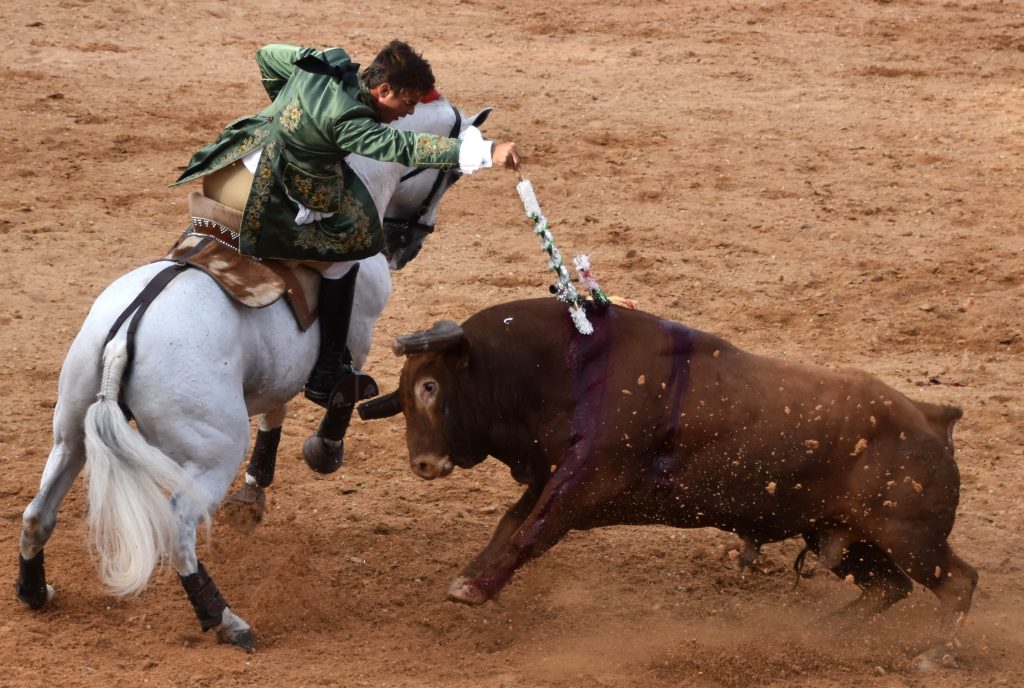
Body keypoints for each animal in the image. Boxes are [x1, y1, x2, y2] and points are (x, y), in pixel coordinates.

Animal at [16, 96, 490, 650]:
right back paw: (224, 619)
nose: (405, 247)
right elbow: (341, 391)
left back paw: (34, 591)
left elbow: (276, 407)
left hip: (70, 431)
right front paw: (324, 451)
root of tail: (124, 334)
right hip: (212, 450)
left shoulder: (279, 363)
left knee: (38, 512)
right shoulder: (357, 332)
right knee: (178, 529)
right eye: (450, 176)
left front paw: (255, 489)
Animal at [358, 298, 977, 669]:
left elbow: (528, 534)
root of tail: (932, 416)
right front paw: (468, 577)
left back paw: (936, 656)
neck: (567, 367)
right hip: (843, 539)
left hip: (911, 539)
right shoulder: (557, 475)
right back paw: (819, 632)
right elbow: (510, 525)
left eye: (431, 387)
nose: (424, 464)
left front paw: (477, 588)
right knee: (887, 589)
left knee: (957, 583)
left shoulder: (584, 482)